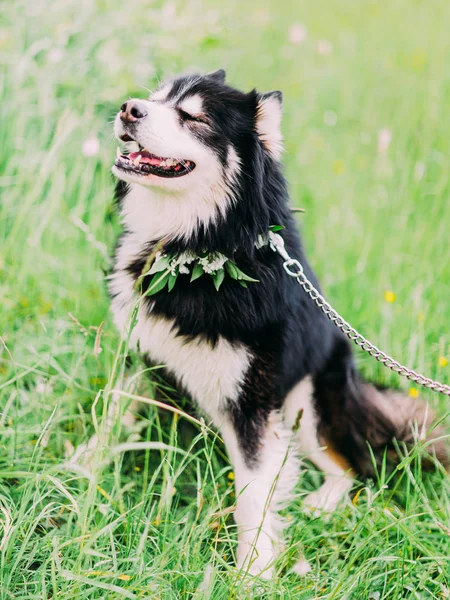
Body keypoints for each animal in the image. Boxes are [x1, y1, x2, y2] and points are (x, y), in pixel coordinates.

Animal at [108, 68, 446, 580]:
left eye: (193, 117)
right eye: (155, 99)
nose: (129, 109)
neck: (195, 247)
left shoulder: (253, 400)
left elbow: (253, 494)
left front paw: (252, 573)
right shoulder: (141, 355)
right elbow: (111, 420)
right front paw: (78, 469)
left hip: (308, 399)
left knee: (349, 466)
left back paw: (323, 503)